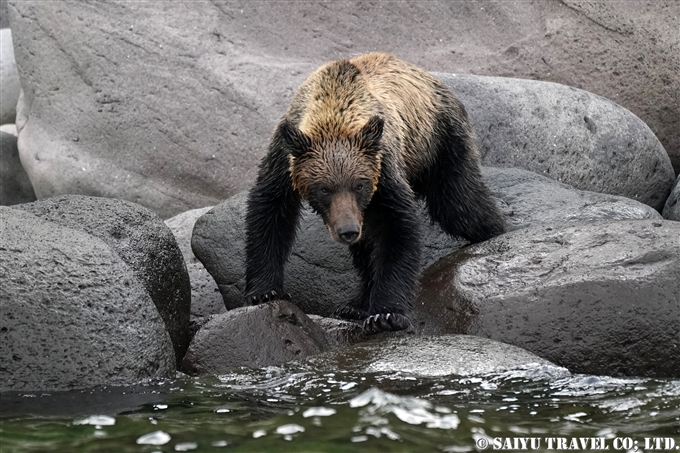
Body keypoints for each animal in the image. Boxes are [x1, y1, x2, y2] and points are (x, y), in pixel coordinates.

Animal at [244, 53, 504, 332]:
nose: (347, 231)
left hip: (441, 143)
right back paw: (355, 304)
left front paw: (386, 314)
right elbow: (270, 210)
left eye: (359, 184)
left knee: (459, 204)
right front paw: (264, 291)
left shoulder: (382, 167)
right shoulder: (285, 158)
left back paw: (495, 231)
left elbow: (397, 228)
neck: (334, 110)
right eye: (324, 189)